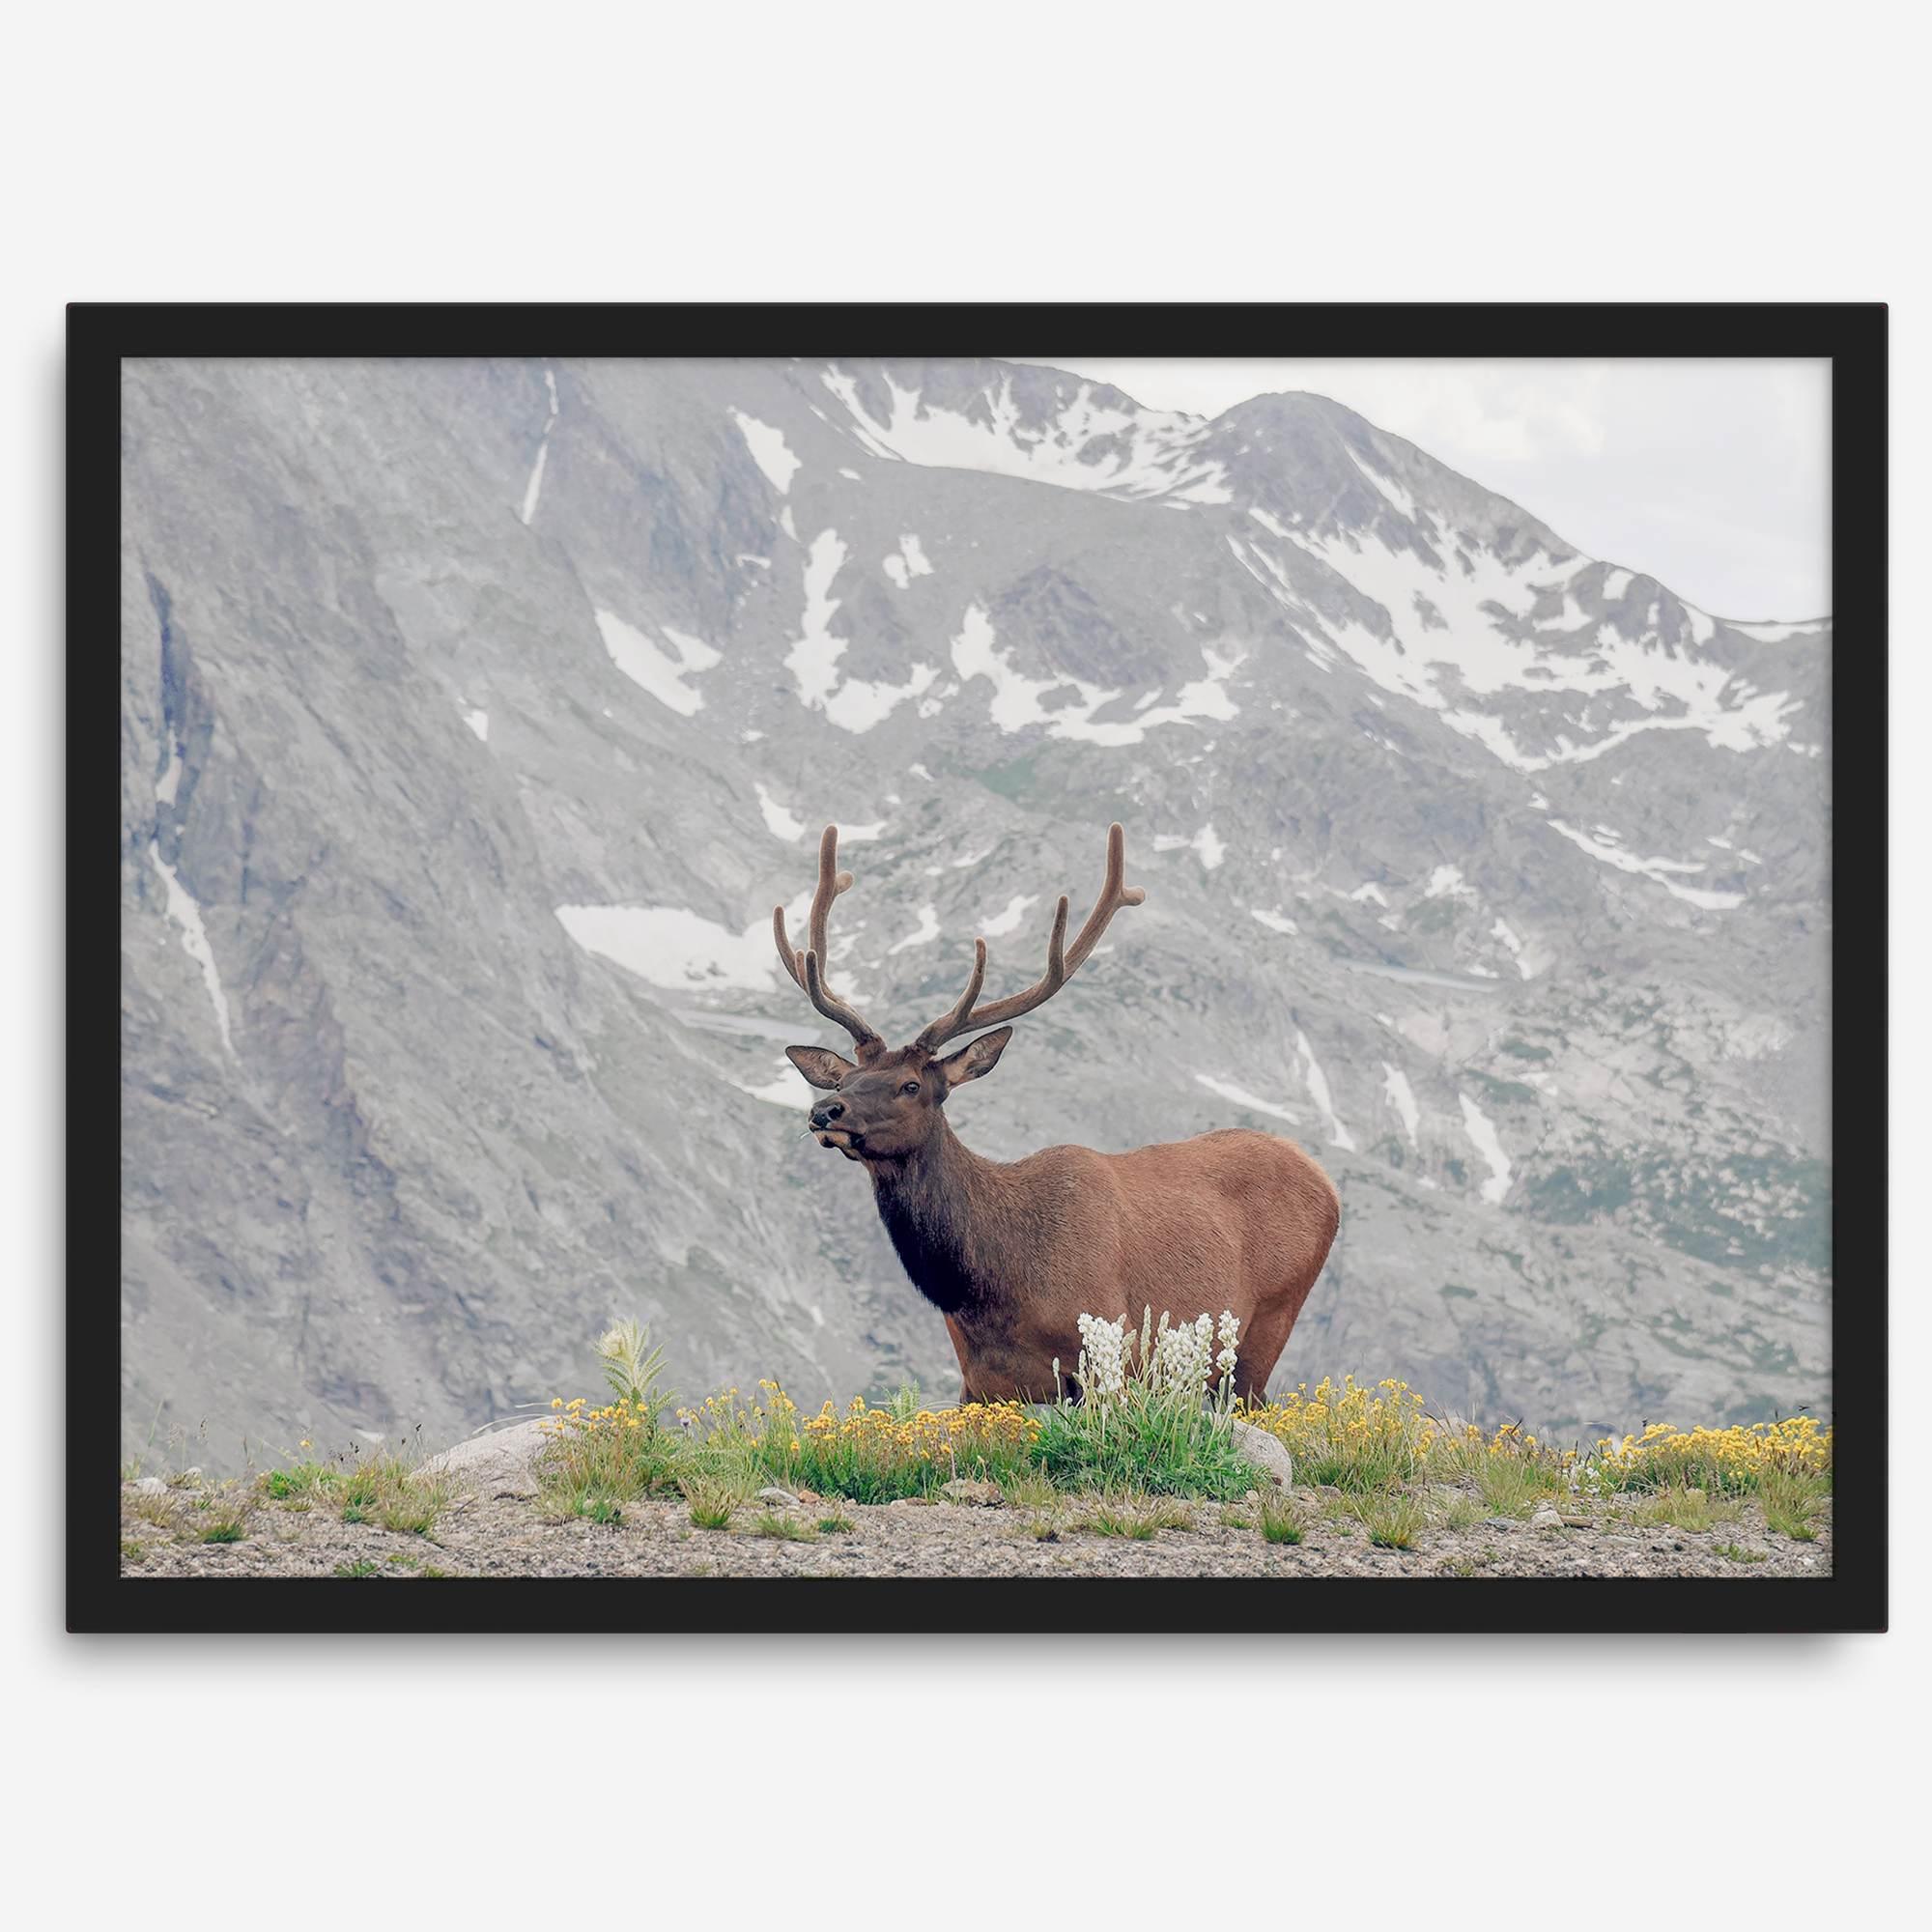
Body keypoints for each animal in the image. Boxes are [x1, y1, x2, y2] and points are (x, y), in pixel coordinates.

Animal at [776, 821, 1341, 1405]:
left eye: (910, 1085)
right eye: (843, 1080)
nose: (824, 1110)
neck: (992, 1288)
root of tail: (1324, 1181)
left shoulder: (1110, 1350)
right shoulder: (979, 1383)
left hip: (1269, 1324)